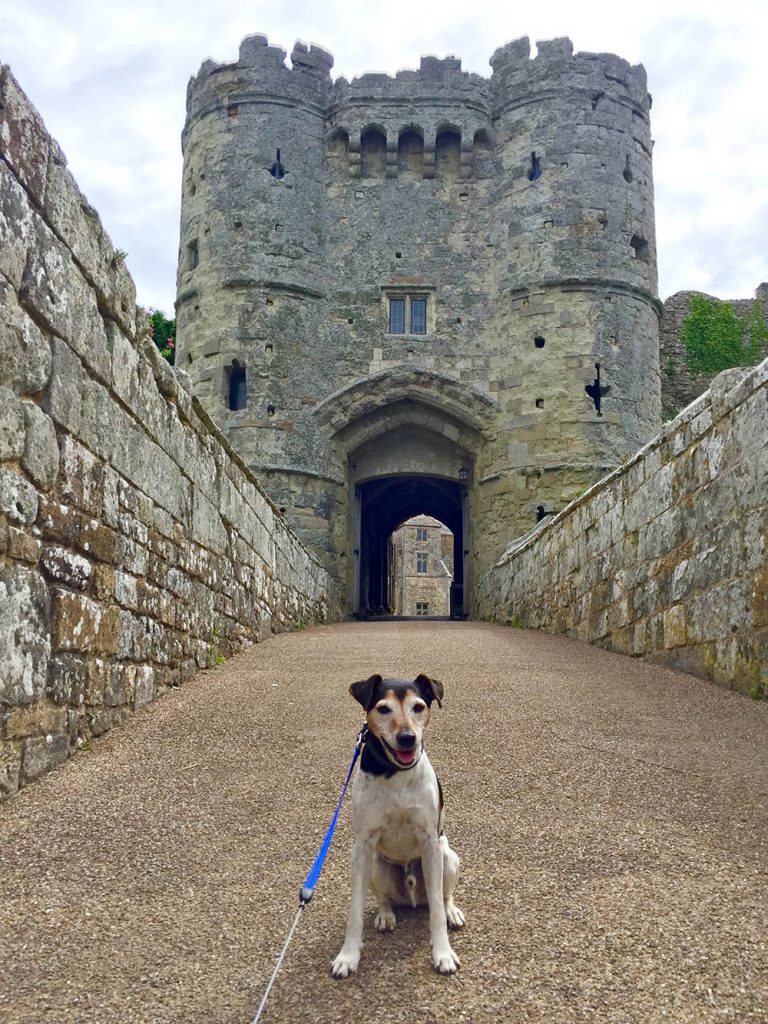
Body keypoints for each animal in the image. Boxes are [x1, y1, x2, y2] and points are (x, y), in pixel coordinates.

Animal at [331, 671, 462, 974]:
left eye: (419, 707)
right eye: (383, 709)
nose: (407, 738)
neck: (395, 772)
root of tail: (412, 897)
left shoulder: (430, 843)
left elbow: (436, 911)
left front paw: (443, 953)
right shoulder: (362, 847)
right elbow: (355, 912)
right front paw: (348, 956)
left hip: (447, 857)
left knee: (443, 896)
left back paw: (452, 911)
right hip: (376, 865)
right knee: (384, 898)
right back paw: (386, 915)